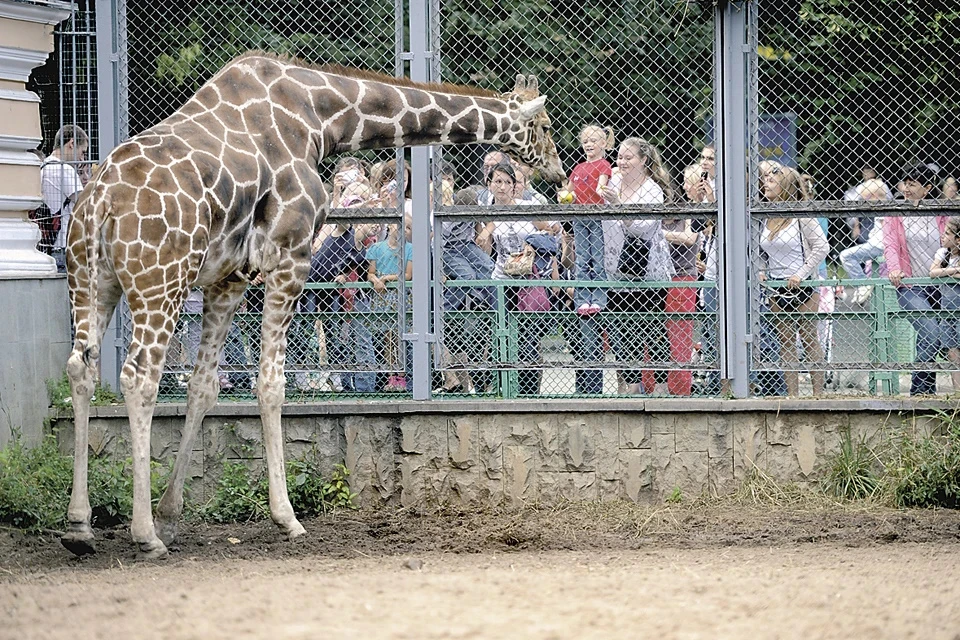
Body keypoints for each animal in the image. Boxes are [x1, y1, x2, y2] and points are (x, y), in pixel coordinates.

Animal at [62, 51, 564, 560]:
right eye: (543, 125)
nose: (558, 171)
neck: (322, 119)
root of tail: (100, 200)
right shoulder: (290, 256)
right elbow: (271, 384)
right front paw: (285, 517)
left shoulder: (230, 275)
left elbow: (205, 387)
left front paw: (171, 517)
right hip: (160, 281)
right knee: (138, 377)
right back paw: (142, 534)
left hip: (91, 279)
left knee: (81, 367)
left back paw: (80, 526)